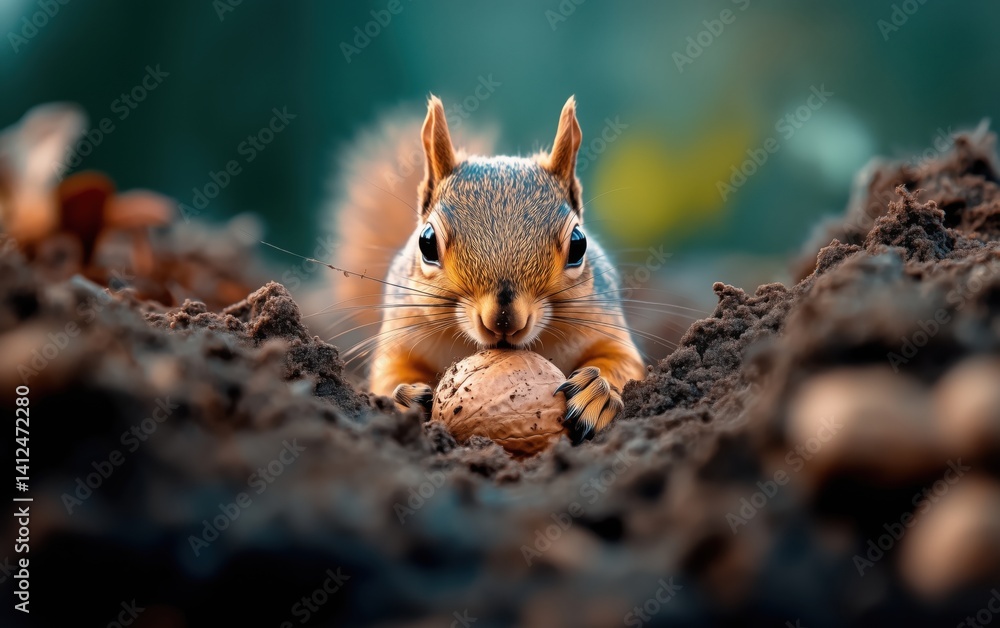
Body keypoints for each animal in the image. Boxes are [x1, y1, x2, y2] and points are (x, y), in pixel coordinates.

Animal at [329, 95, 645, 443]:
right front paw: (406, 397)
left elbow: (623, 361)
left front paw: (597, 392)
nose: (504, 321)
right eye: (426, 242)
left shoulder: (603, 321)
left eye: (579, 244)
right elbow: (388, 374)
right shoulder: (402, 333)